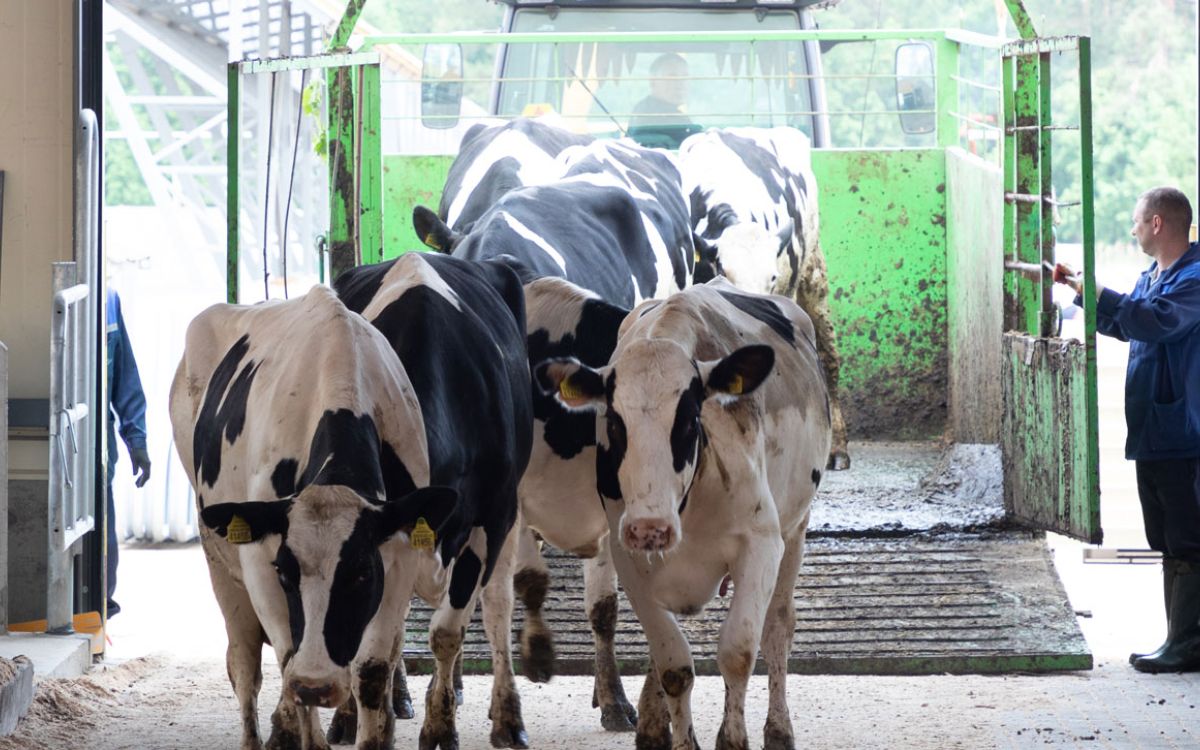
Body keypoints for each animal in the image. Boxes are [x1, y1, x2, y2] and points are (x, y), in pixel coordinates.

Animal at [169, 285, 463, 750]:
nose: (316, 685)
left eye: (361, 573)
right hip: (218, 561)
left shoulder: (398, 557)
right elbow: (287, 655)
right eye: (284, 571)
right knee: (245, 667)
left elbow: (371, 671)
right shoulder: (259, 563)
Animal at [333, 252, 534, 750]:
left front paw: (441, 728)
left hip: (511, 510)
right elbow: (373, 657)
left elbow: (447, 632)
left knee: (497, 605)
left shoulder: (492, 518)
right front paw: (369, 723)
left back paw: (506, 716)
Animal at [536, 277, 832, 750]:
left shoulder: (760, 545)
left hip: (796, 528)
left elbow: (738, 651)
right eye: (614, 423)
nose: (649, 527)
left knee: (778, 627)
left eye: (691, 418)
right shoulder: (629, 558)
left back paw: (778, 728)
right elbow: (672, 664)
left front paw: (734, 740)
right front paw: (678, 736)